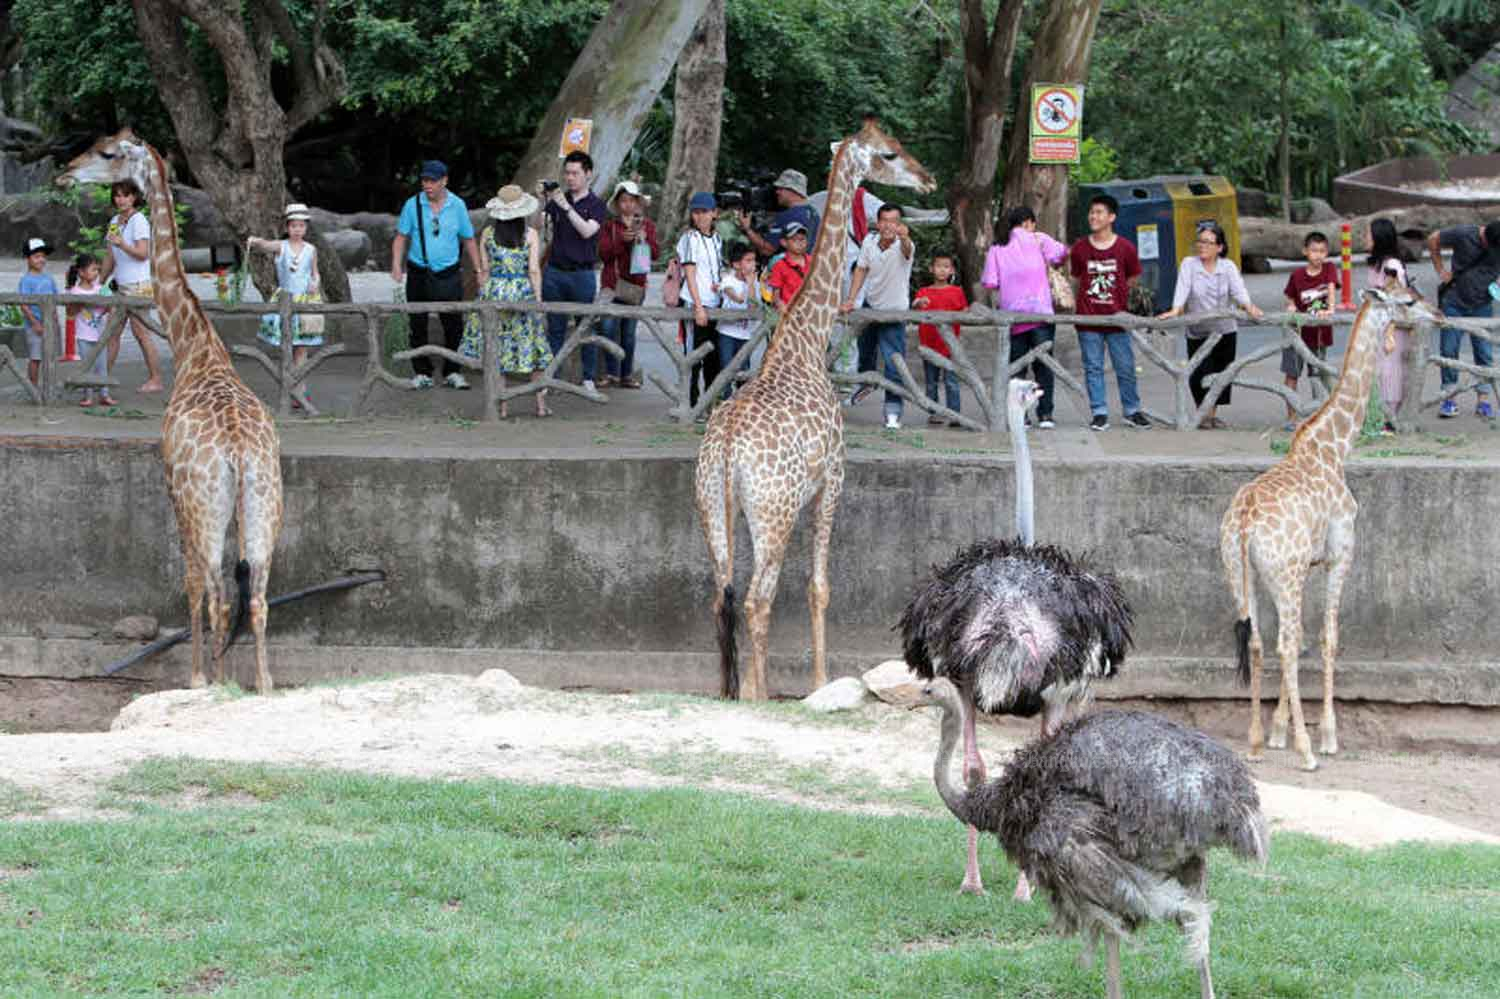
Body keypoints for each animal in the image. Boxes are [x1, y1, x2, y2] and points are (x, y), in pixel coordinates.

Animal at [58, 130, 283, 693]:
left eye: (108, 153)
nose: (64, 173)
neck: (196, 349)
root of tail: (239, 455)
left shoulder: (172, 490)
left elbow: (193, 586)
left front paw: (198, 676)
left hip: (205, 508)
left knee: (216, 592)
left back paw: (211, 681)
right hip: (265, 508)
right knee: (257, 598)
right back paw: (261, 684)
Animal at [693, 120, 930, 699]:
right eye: (889, 154)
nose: (928, 179)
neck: (804, 342)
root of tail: (727, 450)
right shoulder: (833, 482)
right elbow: (819, 586)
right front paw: (822, 682)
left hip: (716, 507)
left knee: (722, 596)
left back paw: (733, 692)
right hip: (772, 513)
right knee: (757, 599)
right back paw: (760, 696)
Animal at [1218, 283, 1440, 765]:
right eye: (1407, 301)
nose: (1439, 314)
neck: (1334, 448)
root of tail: (1243, 523)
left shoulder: (1310, 564)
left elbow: (1303, 638)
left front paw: (1278, 732)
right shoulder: (1341, 553)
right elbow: (1327, 639)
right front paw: (1327, 736)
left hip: (1243, 574)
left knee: (1260, 642)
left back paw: (1256, 743)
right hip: (1282, 574)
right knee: (1283, 644)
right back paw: (1307, 753)